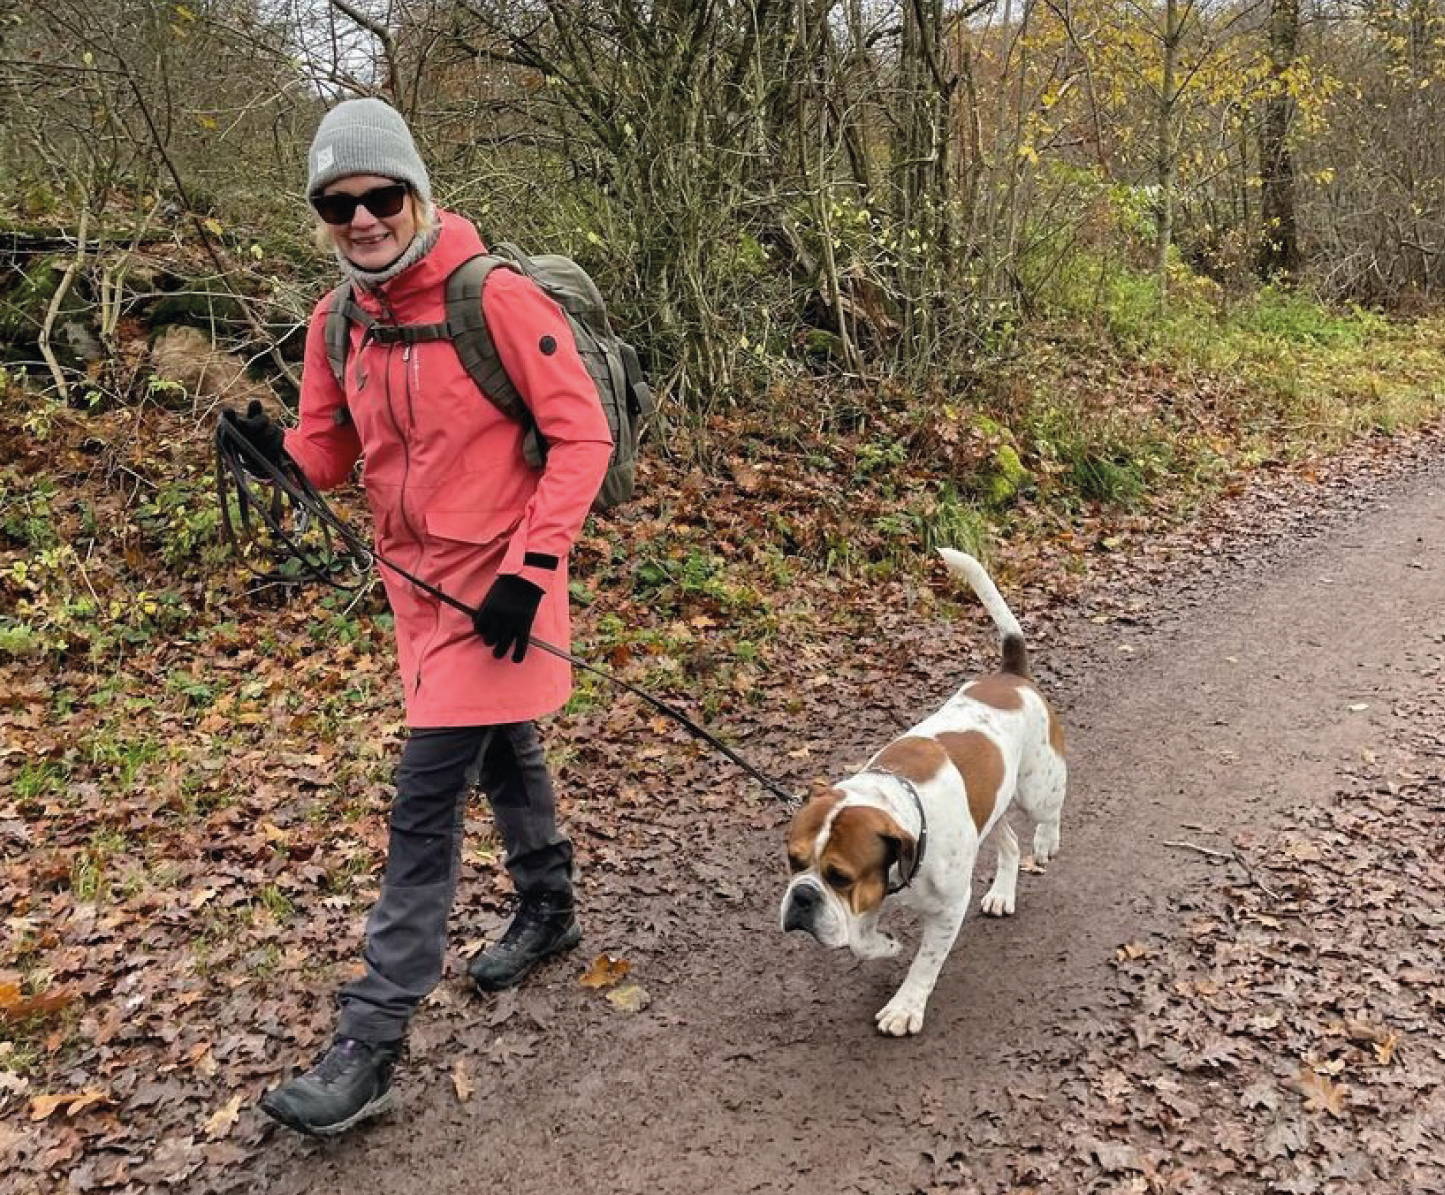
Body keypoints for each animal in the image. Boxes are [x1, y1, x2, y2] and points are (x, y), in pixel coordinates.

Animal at [780, 551, 1075, 1040]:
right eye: (793, 862)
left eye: (839, 876)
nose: (802, 896)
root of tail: (1011, 675)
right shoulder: (872, 896)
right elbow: (862, 943)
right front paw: (885, 945)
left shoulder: (947, 910)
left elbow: (925, 964)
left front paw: (905, 1007)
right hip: (990, 811)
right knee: (1010, 844)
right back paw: (1002, 892)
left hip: (1037, 786)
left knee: (1050, 809)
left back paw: (1047, 840)